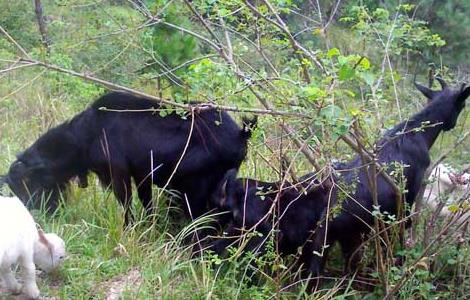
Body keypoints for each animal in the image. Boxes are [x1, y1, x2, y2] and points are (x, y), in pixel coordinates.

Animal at [0, 91, 258, 225]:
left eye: (26, 182)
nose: (33, 214)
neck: (89, 133)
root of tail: (240, 134)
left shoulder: (119, 174)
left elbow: (126, 203)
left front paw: (130, 227)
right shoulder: (141, 174)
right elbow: (146, 202)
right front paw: (150, 225)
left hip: (197, 188)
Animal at [308, 78, 470, 278]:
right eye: (462, 105)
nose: (451, 125)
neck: (417, 131)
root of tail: (330, 216)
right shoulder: (408, 194)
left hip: (325, 244)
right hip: (355, 238)